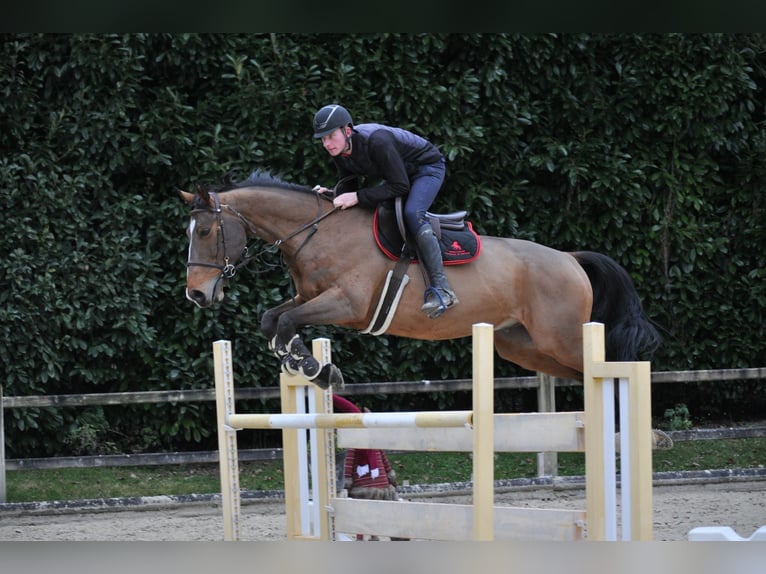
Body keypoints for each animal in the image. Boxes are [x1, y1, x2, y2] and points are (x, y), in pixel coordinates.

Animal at [179, 171, 660, 390]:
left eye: (203, 232)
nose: (197, 293)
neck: (317, 232)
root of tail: (569, 258)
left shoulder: (348, 304)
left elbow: (284, 322)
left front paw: (314, 367)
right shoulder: (308, 296)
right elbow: (273, 319)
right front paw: (307, 364)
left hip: (561, 337)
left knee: (605, 366)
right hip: (525, 346)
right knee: (583, 373)